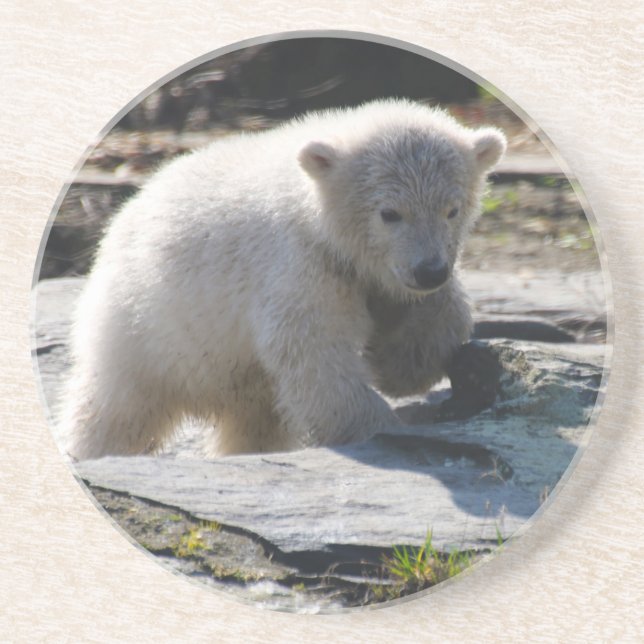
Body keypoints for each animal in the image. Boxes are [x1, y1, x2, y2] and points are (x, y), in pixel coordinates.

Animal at [59, 98, 506, 459]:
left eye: (452, 209)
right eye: (390, 213)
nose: (430, 270)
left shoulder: (377, 275)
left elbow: (436, 316)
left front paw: (422, 364)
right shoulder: (299, 264)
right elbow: (315, 353)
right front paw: (383, 429)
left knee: (255, 420)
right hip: (144, 326)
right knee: (116, 407)